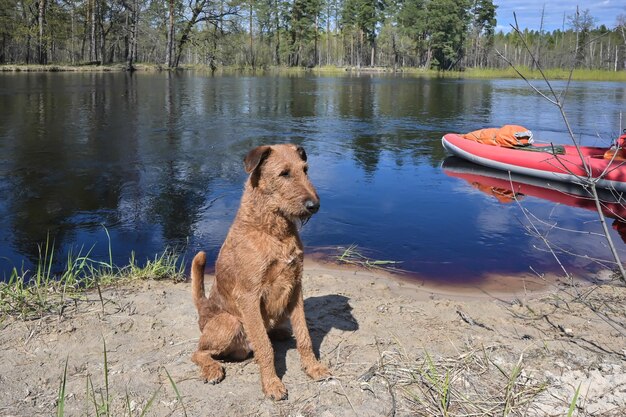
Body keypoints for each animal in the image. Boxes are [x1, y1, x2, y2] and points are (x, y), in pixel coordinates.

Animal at [190, 144, 332, 400]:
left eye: (305, 170)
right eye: (284, 173)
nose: (314, 205)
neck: (273, 230)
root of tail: (203, 308)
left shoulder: (295, 288)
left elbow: (304, 335)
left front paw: (313, 367)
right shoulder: (249, 296)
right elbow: (264, 348)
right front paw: (272, 384)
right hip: (230, 323)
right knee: (198, 352)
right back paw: (212, 369)